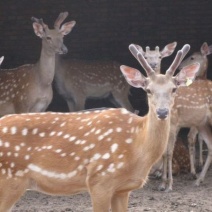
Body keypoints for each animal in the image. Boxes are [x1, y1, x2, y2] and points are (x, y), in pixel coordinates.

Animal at [0, 44, 199, 211]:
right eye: (148, 89)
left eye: (174, 89)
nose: (162, 112)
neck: (136, 145)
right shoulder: (99, 180)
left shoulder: (123, 189)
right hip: (10, 179)